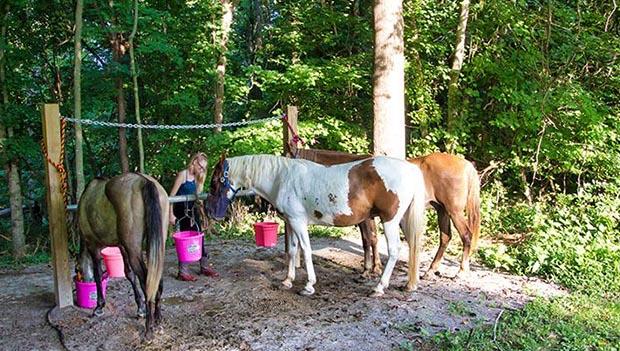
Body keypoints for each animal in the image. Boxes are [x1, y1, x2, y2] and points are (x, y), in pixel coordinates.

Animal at [77, 174, 170, 340]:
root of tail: (145, 181)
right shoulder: (121, 247)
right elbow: (129, 274)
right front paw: (140, 308)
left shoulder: (94, 247)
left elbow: (98, 274)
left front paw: (99, 306)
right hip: (157, 247)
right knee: (156, 279)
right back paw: (158, 320)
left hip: (134, 251)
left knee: (147, 282)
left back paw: (149, 329)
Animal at [207, 154, 426, 296]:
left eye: (215, 181)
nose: (211, 212)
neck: (281, 178)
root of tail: (411, 169)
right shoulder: (291, 222)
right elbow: (293, 250)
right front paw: (287, 280)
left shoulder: (298, 221)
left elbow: (306, 250)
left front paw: (309, 285)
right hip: (402, 220)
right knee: (412, 247)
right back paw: (409, 284)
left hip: (390, 221)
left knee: (394, 250)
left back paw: (379, 287)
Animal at [294, 149, 480, 280]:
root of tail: (466, 165)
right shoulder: (367, 217)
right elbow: (371, 240)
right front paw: (374, 268)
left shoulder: (365, 218)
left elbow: (369, 240)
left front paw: (368, 270)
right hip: (442, 210)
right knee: (445, 237)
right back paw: (431, 270)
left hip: (454, 211)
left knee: (466, 236)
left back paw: (461, 271)